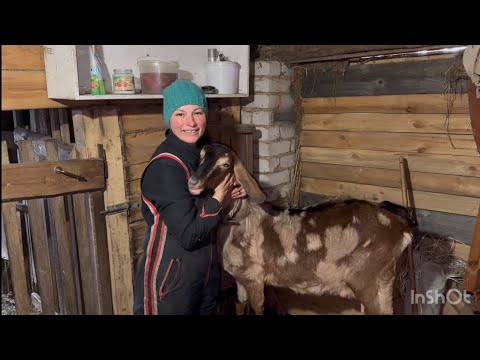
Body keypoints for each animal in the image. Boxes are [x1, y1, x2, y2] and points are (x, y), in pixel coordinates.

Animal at [188, 143, 412, 316]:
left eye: (225, 164)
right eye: (200, 157)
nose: (193, 182)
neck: (240, 221)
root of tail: (403, 230)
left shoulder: (254, 276)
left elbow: (258, 310)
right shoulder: (240, 279)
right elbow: (239, 306)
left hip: (367, 280)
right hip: (383, 284)